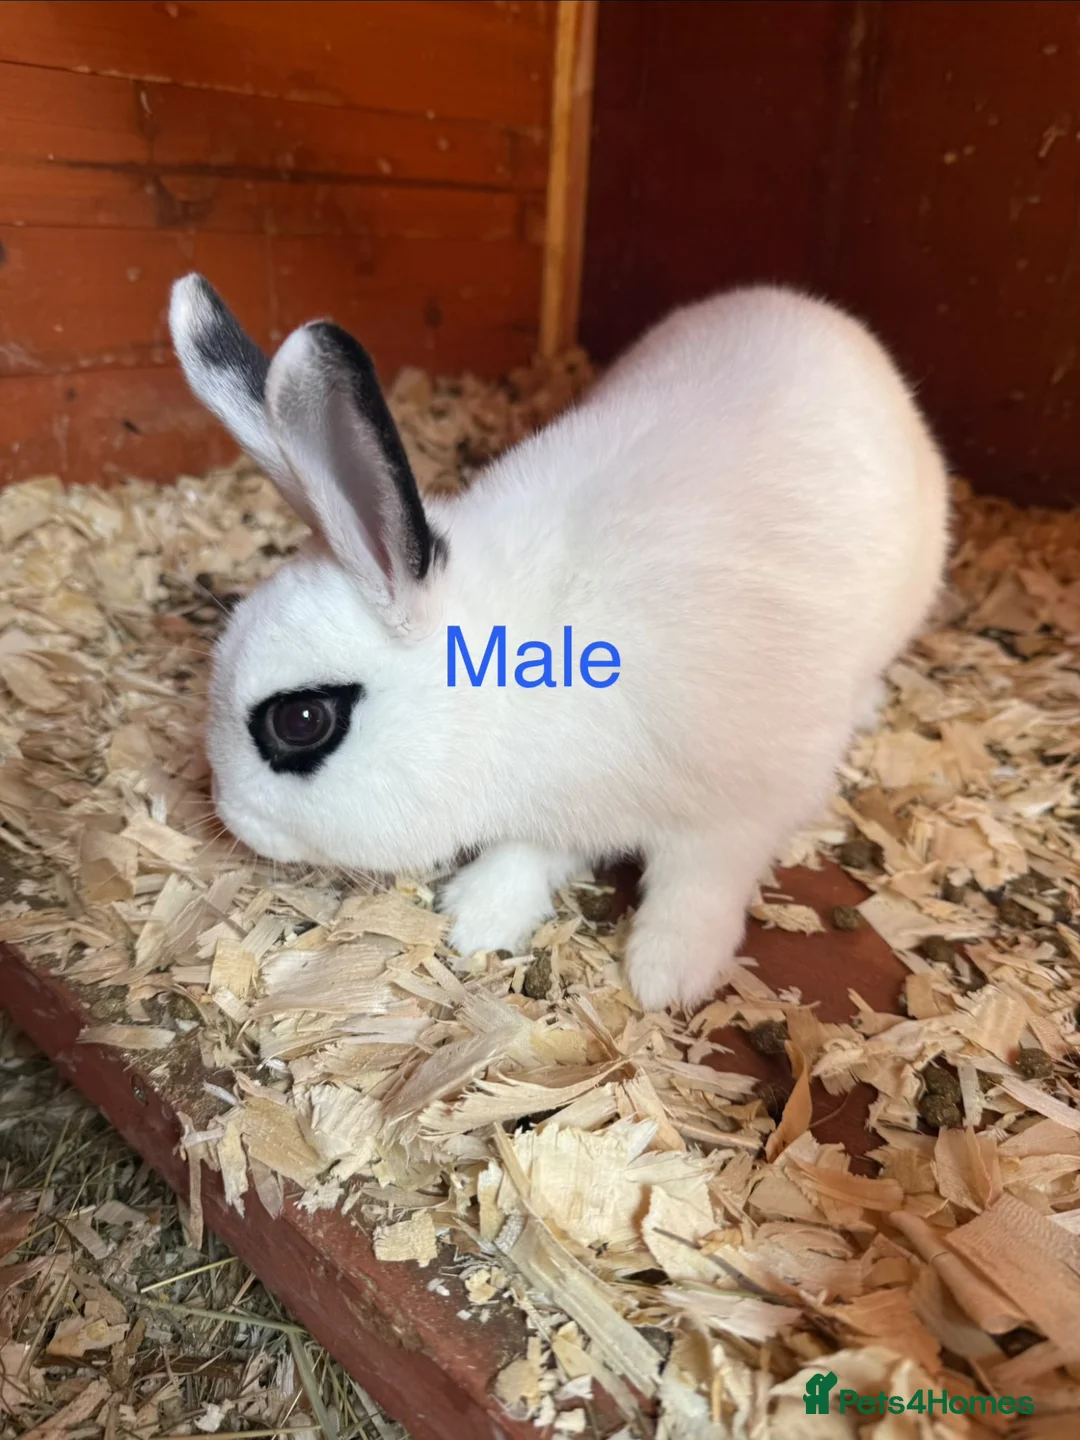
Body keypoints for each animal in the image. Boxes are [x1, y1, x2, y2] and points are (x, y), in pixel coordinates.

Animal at [169, 274, 949, 1012]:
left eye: (301, 721)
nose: (232, 818)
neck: (511, 679)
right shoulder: (561, 810)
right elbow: (531, 852)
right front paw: (477, 917)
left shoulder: (740, 812)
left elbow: (699, 885)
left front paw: (667, 975)